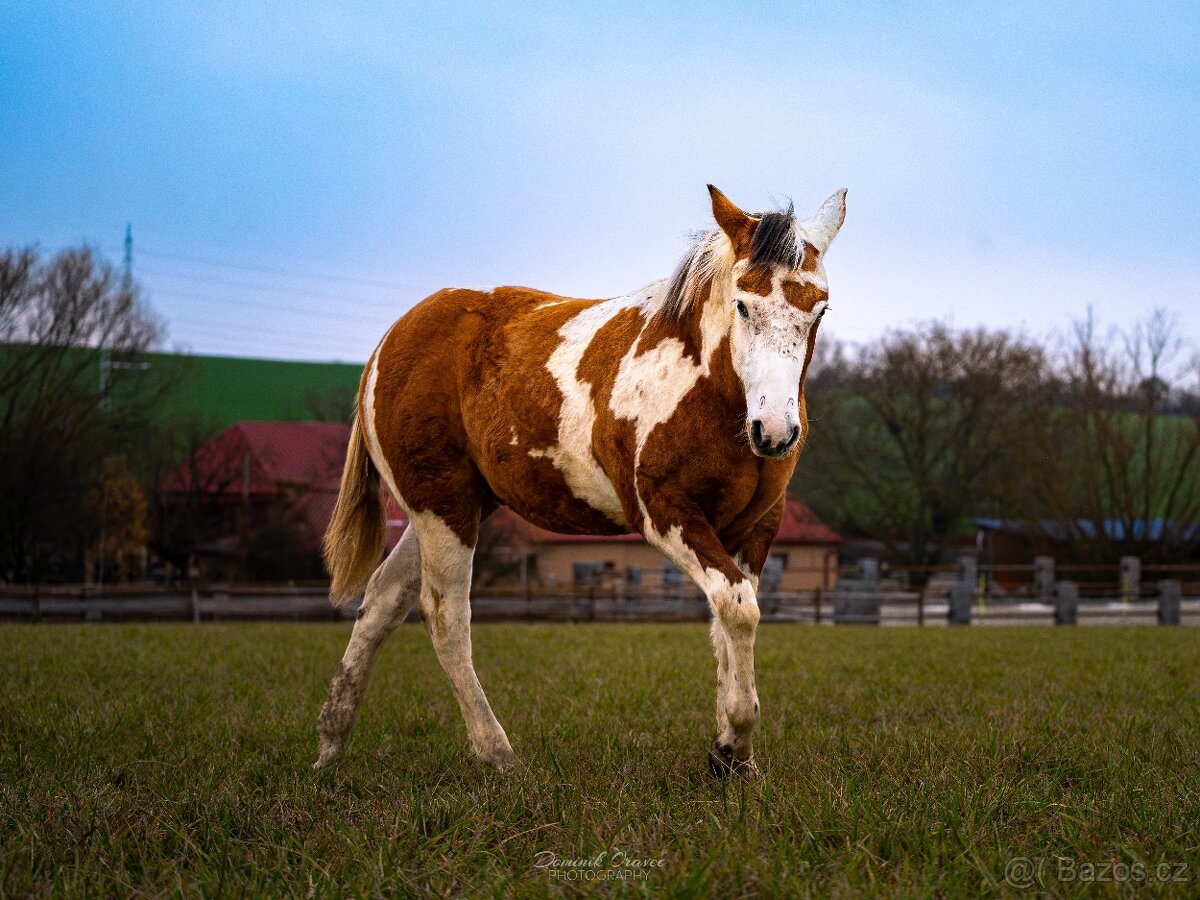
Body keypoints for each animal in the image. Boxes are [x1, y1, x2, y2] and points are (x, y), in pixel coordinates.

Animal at [315, 185, 846, 776]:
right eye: (743, 304)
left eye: (819, 309)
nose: (775, 432)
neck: (707, 389)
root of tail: (390, 339)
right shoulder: (666, 515)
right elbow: (736, 607)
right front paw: (735, 744)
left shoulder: (754, 528)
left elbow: (728, 620)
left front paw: (730, 755)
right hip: (442, 509)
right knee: (445, 616)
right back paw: (498, 754)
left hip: (451, 508)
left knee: (383, 601)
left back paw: (330, 747)